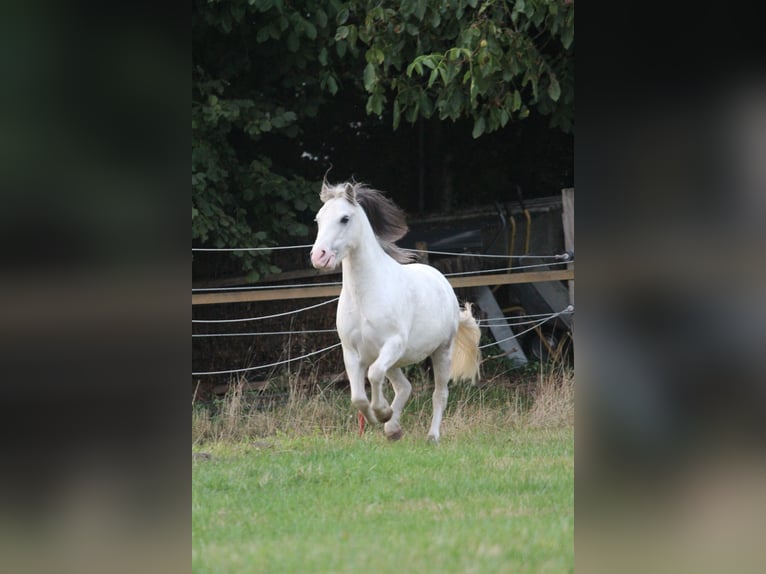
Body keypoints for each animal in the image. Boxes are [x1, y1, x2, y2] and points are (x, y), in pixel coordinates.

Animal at [310, 180, 481, 442]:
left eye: (344, 218)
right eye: (318, 219)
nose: (319, 256)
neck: (365, 296)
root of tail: (442, 281)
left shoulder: (393, 344)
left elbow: (373, 375)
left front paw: (381, 412)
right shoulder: (351, 352)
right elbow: (358, 398)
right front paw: (379, 418)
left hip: (441, 351)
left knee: (439, 394)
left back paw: (432, 436)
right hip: (396, 360)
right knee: (404, 386)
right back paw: (393, 429)